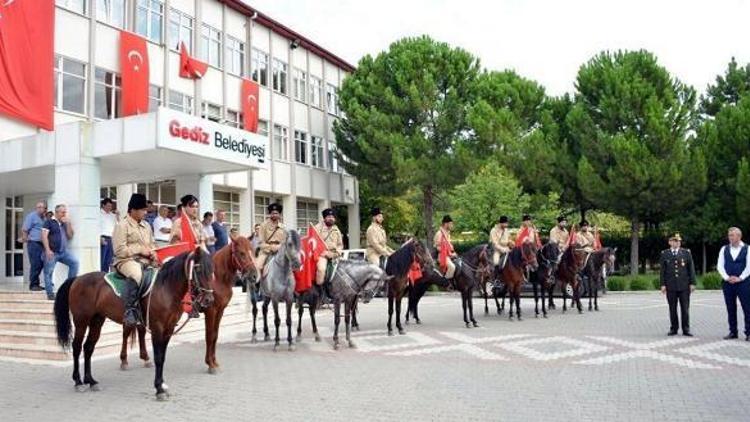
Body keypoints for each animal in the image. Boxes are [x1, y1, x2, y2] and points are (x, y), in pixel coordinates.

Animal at [54, 249, 214, 400]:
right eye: (199, 269)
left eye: (212, 271)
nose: (209, 300)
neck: (165, 288)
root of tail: (77, 279)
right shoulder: (157, 328)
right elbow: (158, 358)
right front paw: (159, 389)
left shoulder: (168, 330)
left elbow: (162, 357)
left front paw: (162, 384)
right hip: (81, 321)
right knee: (76, 347)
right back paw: (78, 382)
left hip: (97, 321)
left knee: (88, 347)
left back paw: (91, 381)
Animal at [119, 237, 258, 376]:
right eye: (241, 253)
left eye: (252, 251)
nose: (254, 275)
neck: (217, 278)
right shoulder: (211, 311)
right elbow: (210, 336)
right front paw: (210, 364)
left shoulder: (220, 311)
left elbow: (215, 335)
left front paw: (214, 362)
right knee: (127, 332)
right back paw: (125, 360)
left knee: (139, 330)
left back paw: (144, 359)